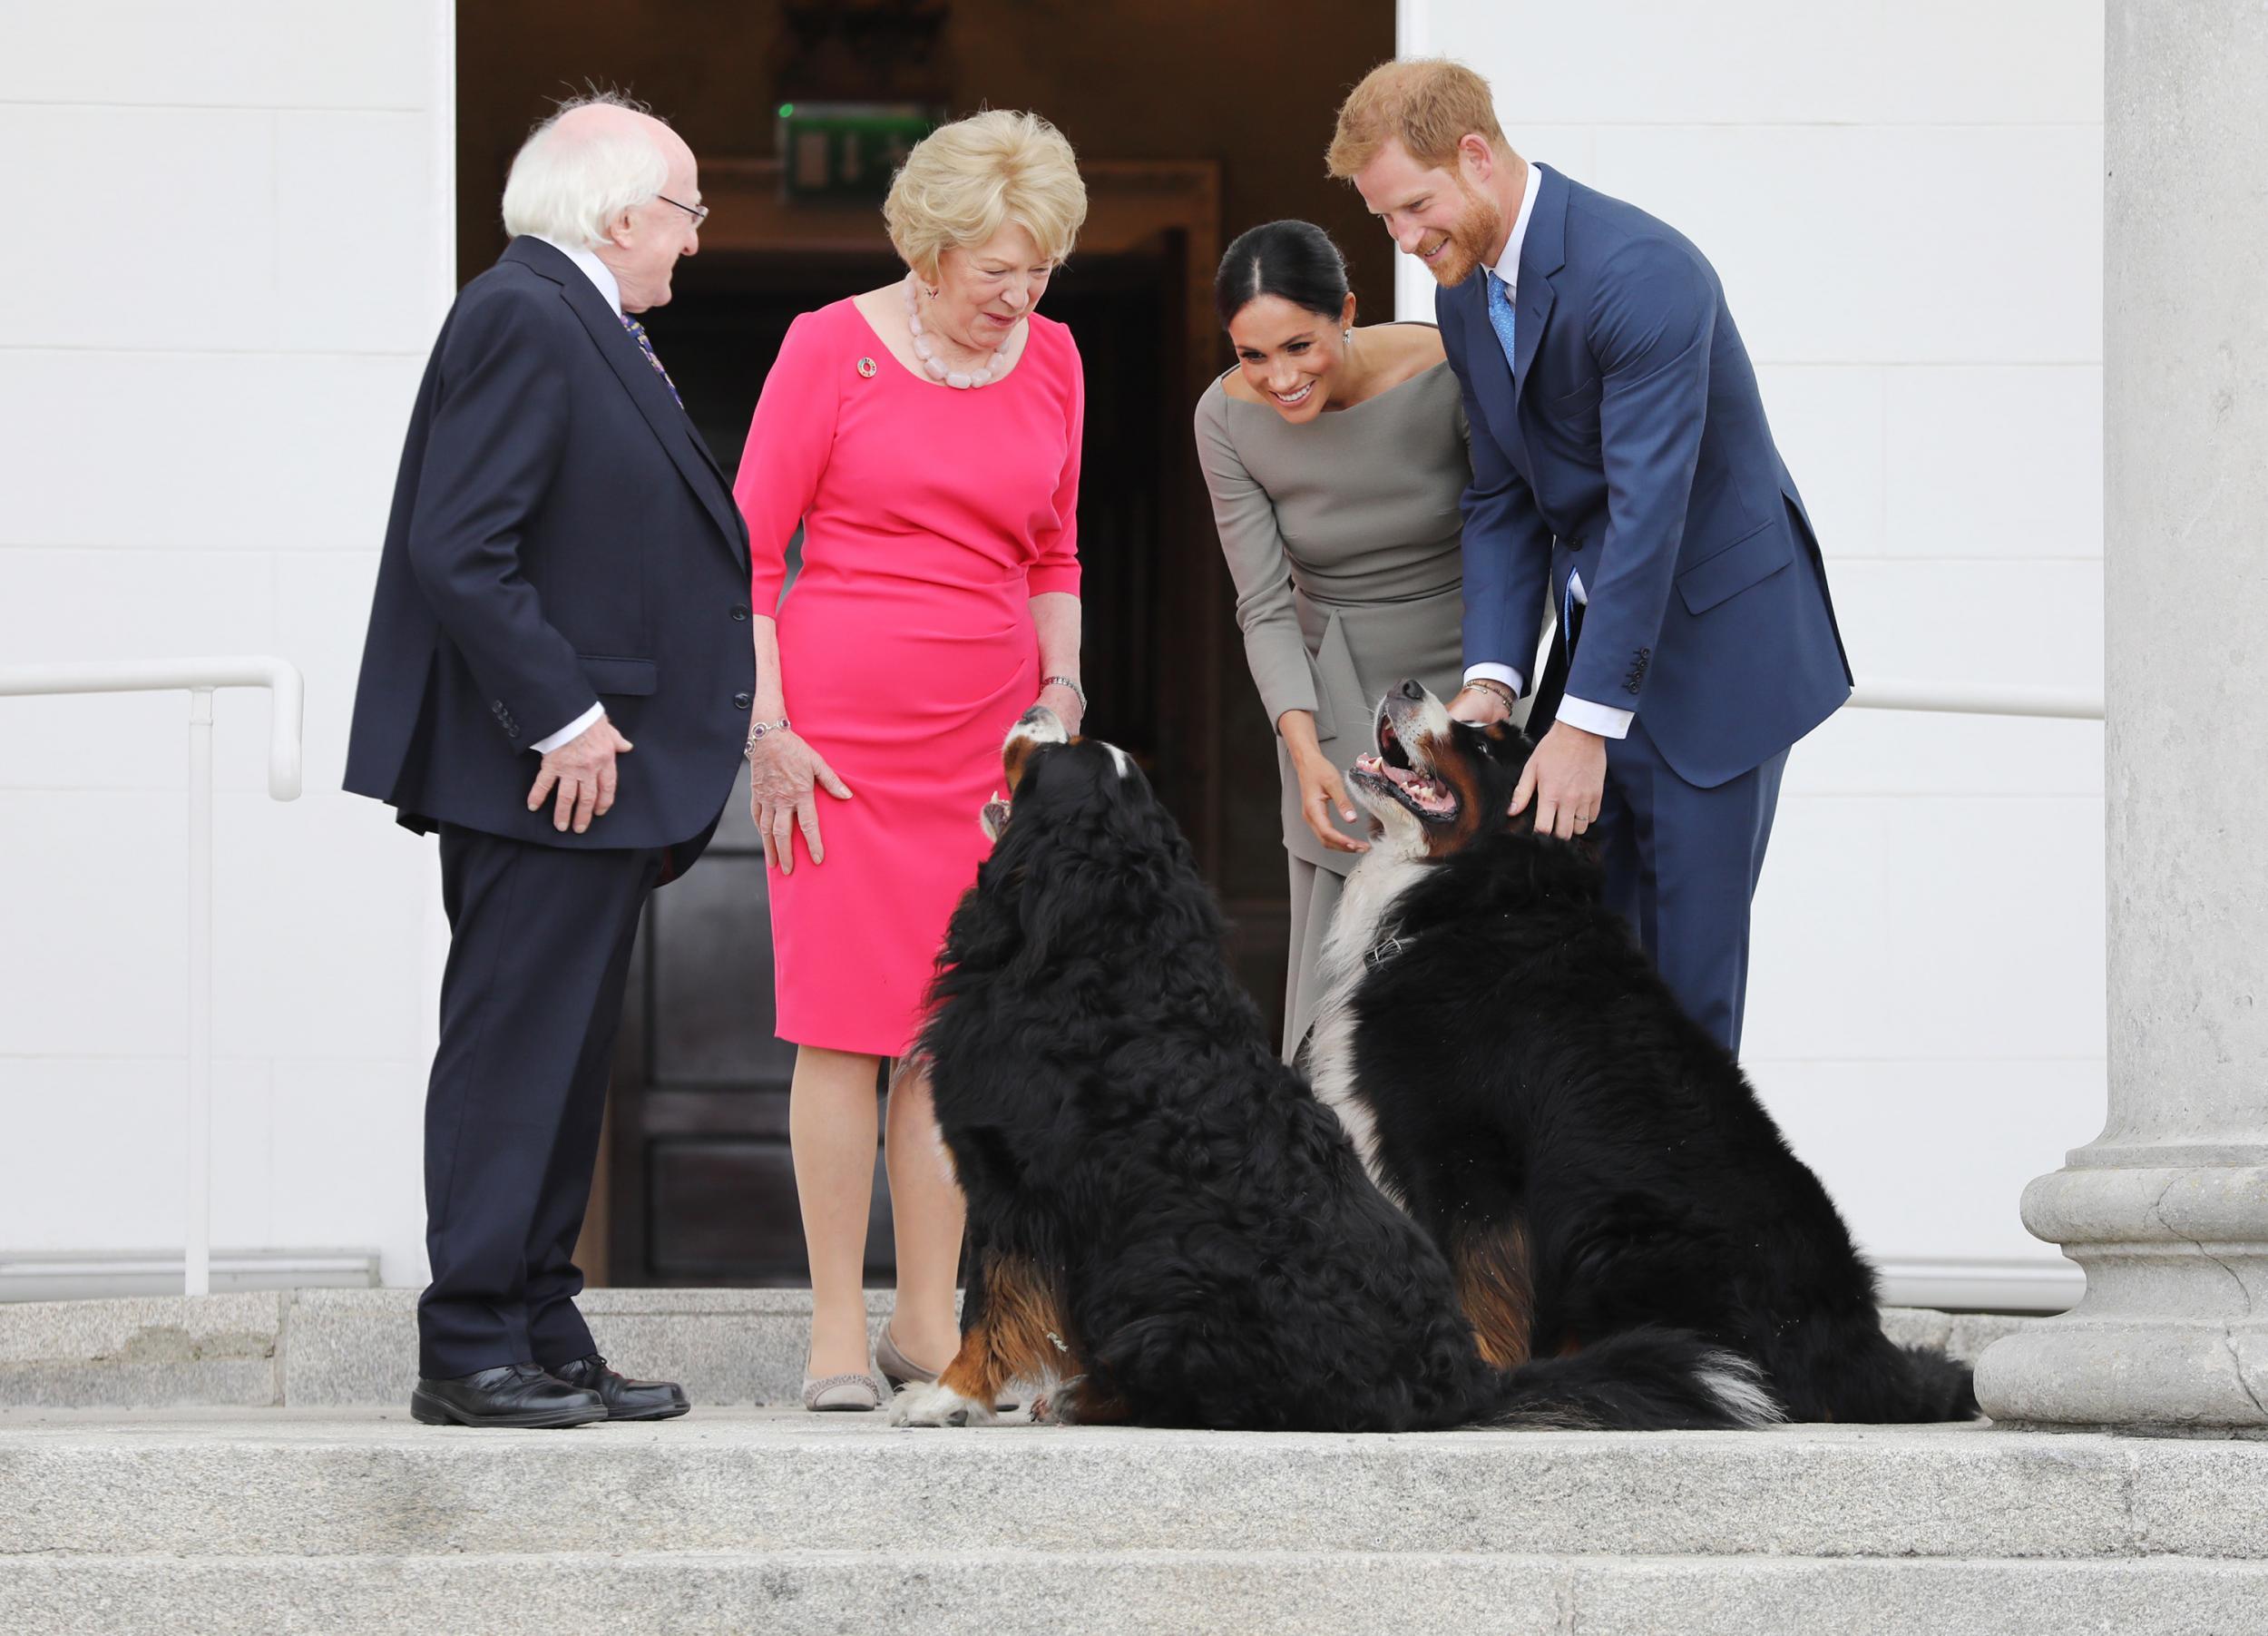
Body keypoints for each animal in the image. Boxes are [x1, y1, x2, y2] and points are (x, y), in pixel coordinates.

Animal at [894, 708, 1796, 1425]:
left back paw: (1090, 1397)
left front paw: (947, 1396)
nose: (1041, 706)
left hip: (1166, 1294)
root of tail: (1465, 1380)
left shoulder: (1012, 1181)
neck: (1100, 946)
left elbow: (990, 1300)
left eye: (1057, 753)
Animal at [1306, 671, 1978, 1416]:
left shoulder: (1468, 1157)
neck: (1475, 901)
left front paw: (1480, 1377)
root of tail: (1861, 1350)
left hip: (1617, 1236)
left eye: (1482, 746)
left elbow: (1478, 1286)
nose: (1405, 686)